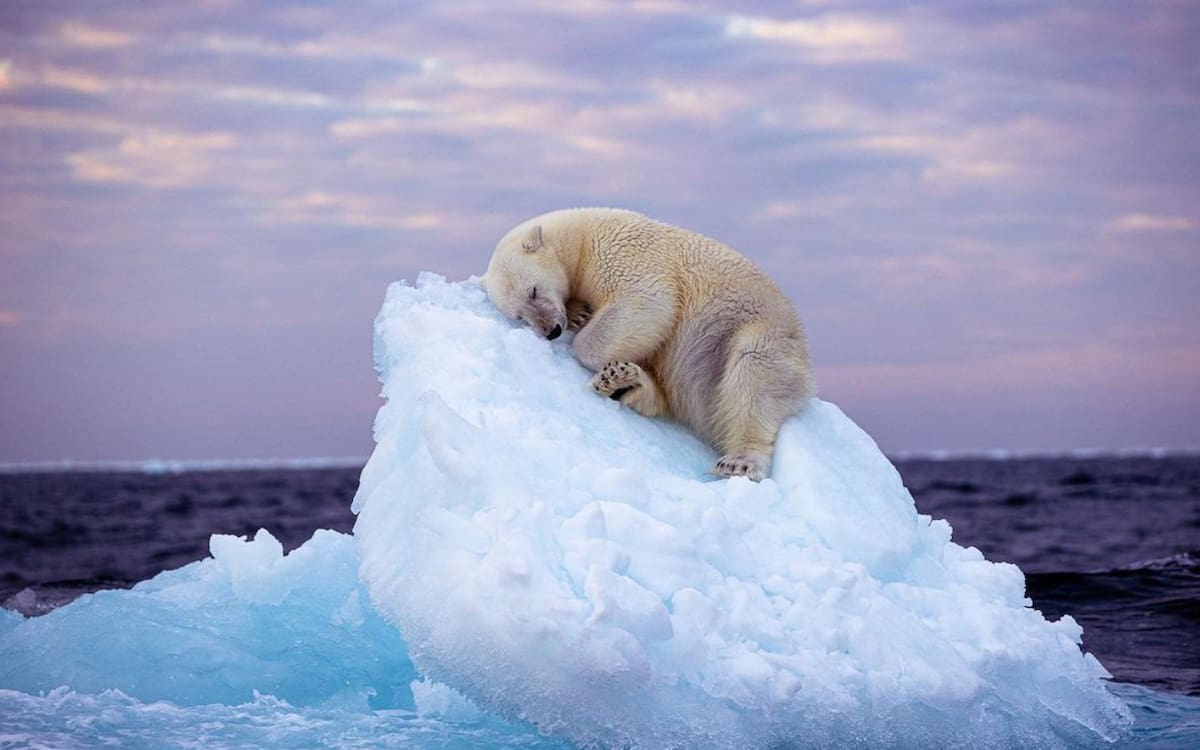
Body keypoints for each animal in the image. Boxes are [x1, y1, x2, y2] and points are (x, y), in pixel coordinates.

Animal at [481, 207, 814, 481]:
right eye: (520, 316)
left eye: (533, 291)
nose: (551, 330)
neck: (581, 236)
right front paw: (579, 314)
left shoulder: (622, 253)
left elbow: (647, 301)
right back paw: (624, 382)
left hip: (756, 332)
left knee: (753, 375)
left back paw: (740, 461)